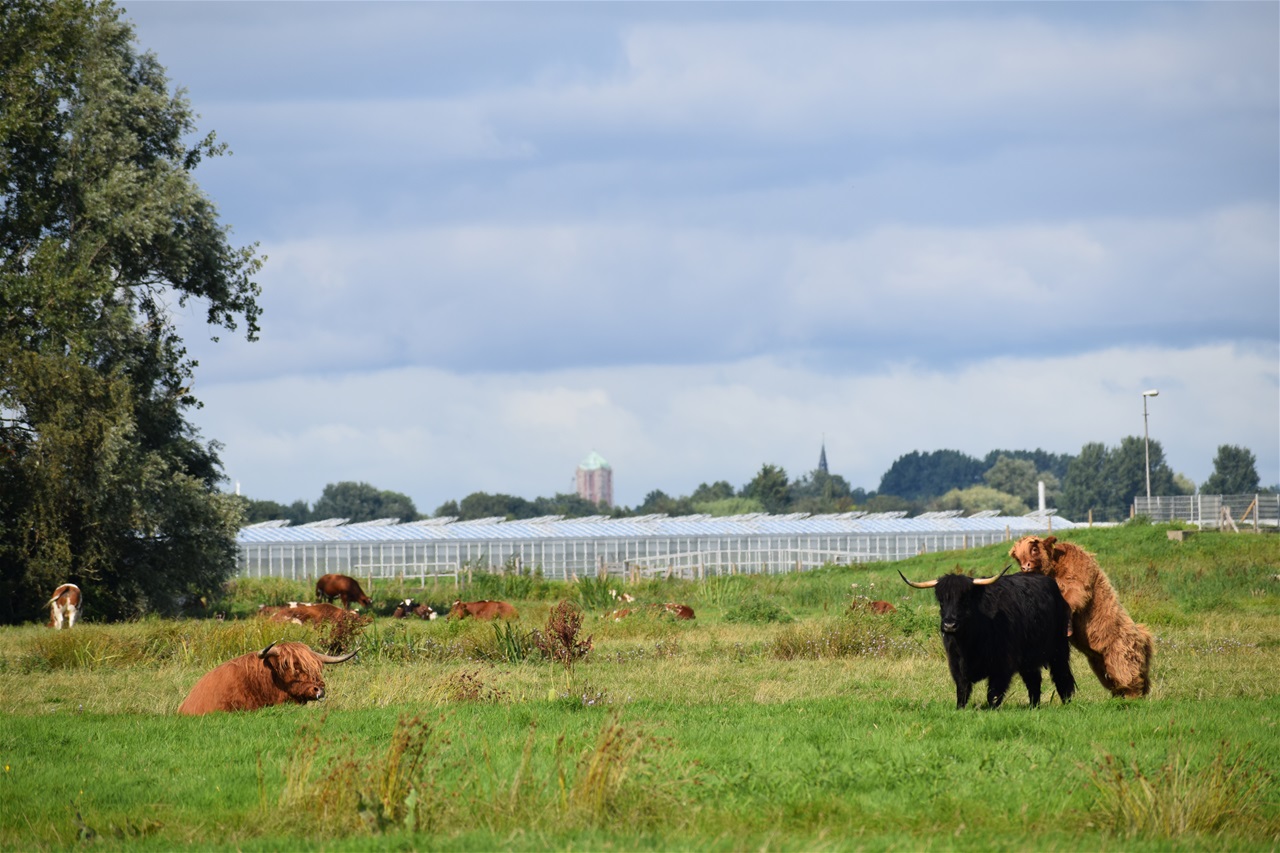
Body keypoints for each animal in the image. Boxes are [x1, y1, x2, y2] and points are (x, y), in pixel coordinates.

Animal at [901, 563, 1080, 712]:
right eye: (941, 601)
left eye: (965, 599)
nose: (949, 625)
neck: (969, 644)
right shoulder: (956, 664)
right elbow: (962, 690)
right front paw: (960, 709)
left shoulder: (1002, 665)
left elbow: (993, 693)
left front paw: (992, 710)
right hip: (1029, 658)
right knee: (1034, 680)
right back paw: (1033, 706)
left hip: (1059, 648)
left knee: (1062, 676)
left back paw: (1067, 702)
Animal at [1013, 532, 1157, 696]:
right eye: (1018, 557)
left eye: (1034, 549)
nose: (1025, 566)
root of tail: (1142, 635)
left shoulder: (1077, 583)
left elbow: (1071, 599)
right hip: (1100, 664)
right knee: (1115, 683)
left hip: (1121, 656)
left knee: (1130, 679)